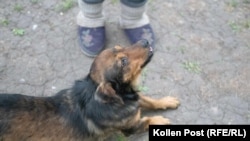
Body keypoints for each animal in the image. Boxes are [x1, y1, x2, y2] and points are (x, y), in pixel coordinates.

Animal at [0, 39, 180, 141]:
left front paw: (167, 101)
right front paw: (160, 121)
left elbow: (149, 100)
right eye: (123, 61)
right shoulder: (130, 128)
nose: (145, 41)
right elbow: (147, 121)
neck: (121, 99)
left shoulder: (134, 97)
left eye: (119, 47)